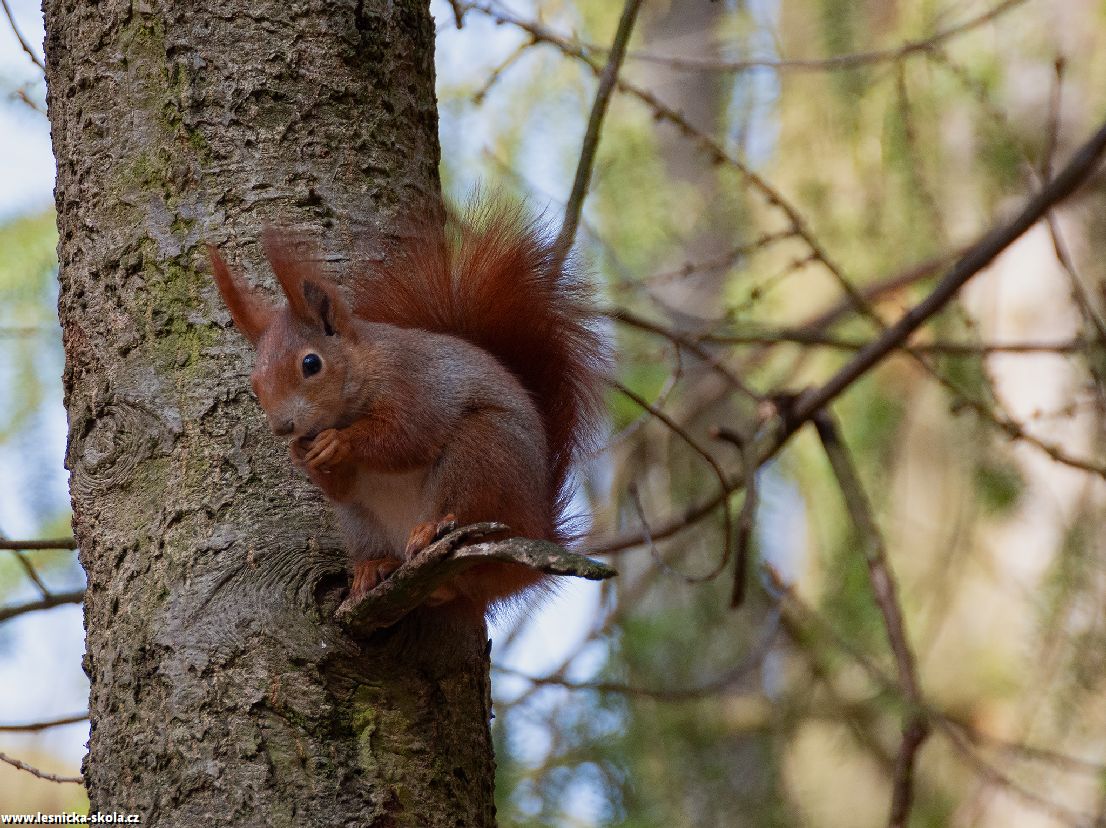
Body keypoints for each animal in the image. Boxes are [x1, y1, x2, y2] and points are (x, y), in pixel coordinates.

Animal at [207, 200, 606, 614]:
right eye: (255, 383)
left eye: (311, 364)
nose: (282, 427)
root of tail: (537, 525)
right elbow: (342, 488)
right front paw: (301, 453)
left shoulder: (415, 383)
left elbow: (408, 437)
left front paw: (338, 442)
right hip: (362, 522)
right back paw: (377, 566)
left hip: (483, 455)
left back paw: (430, 530)